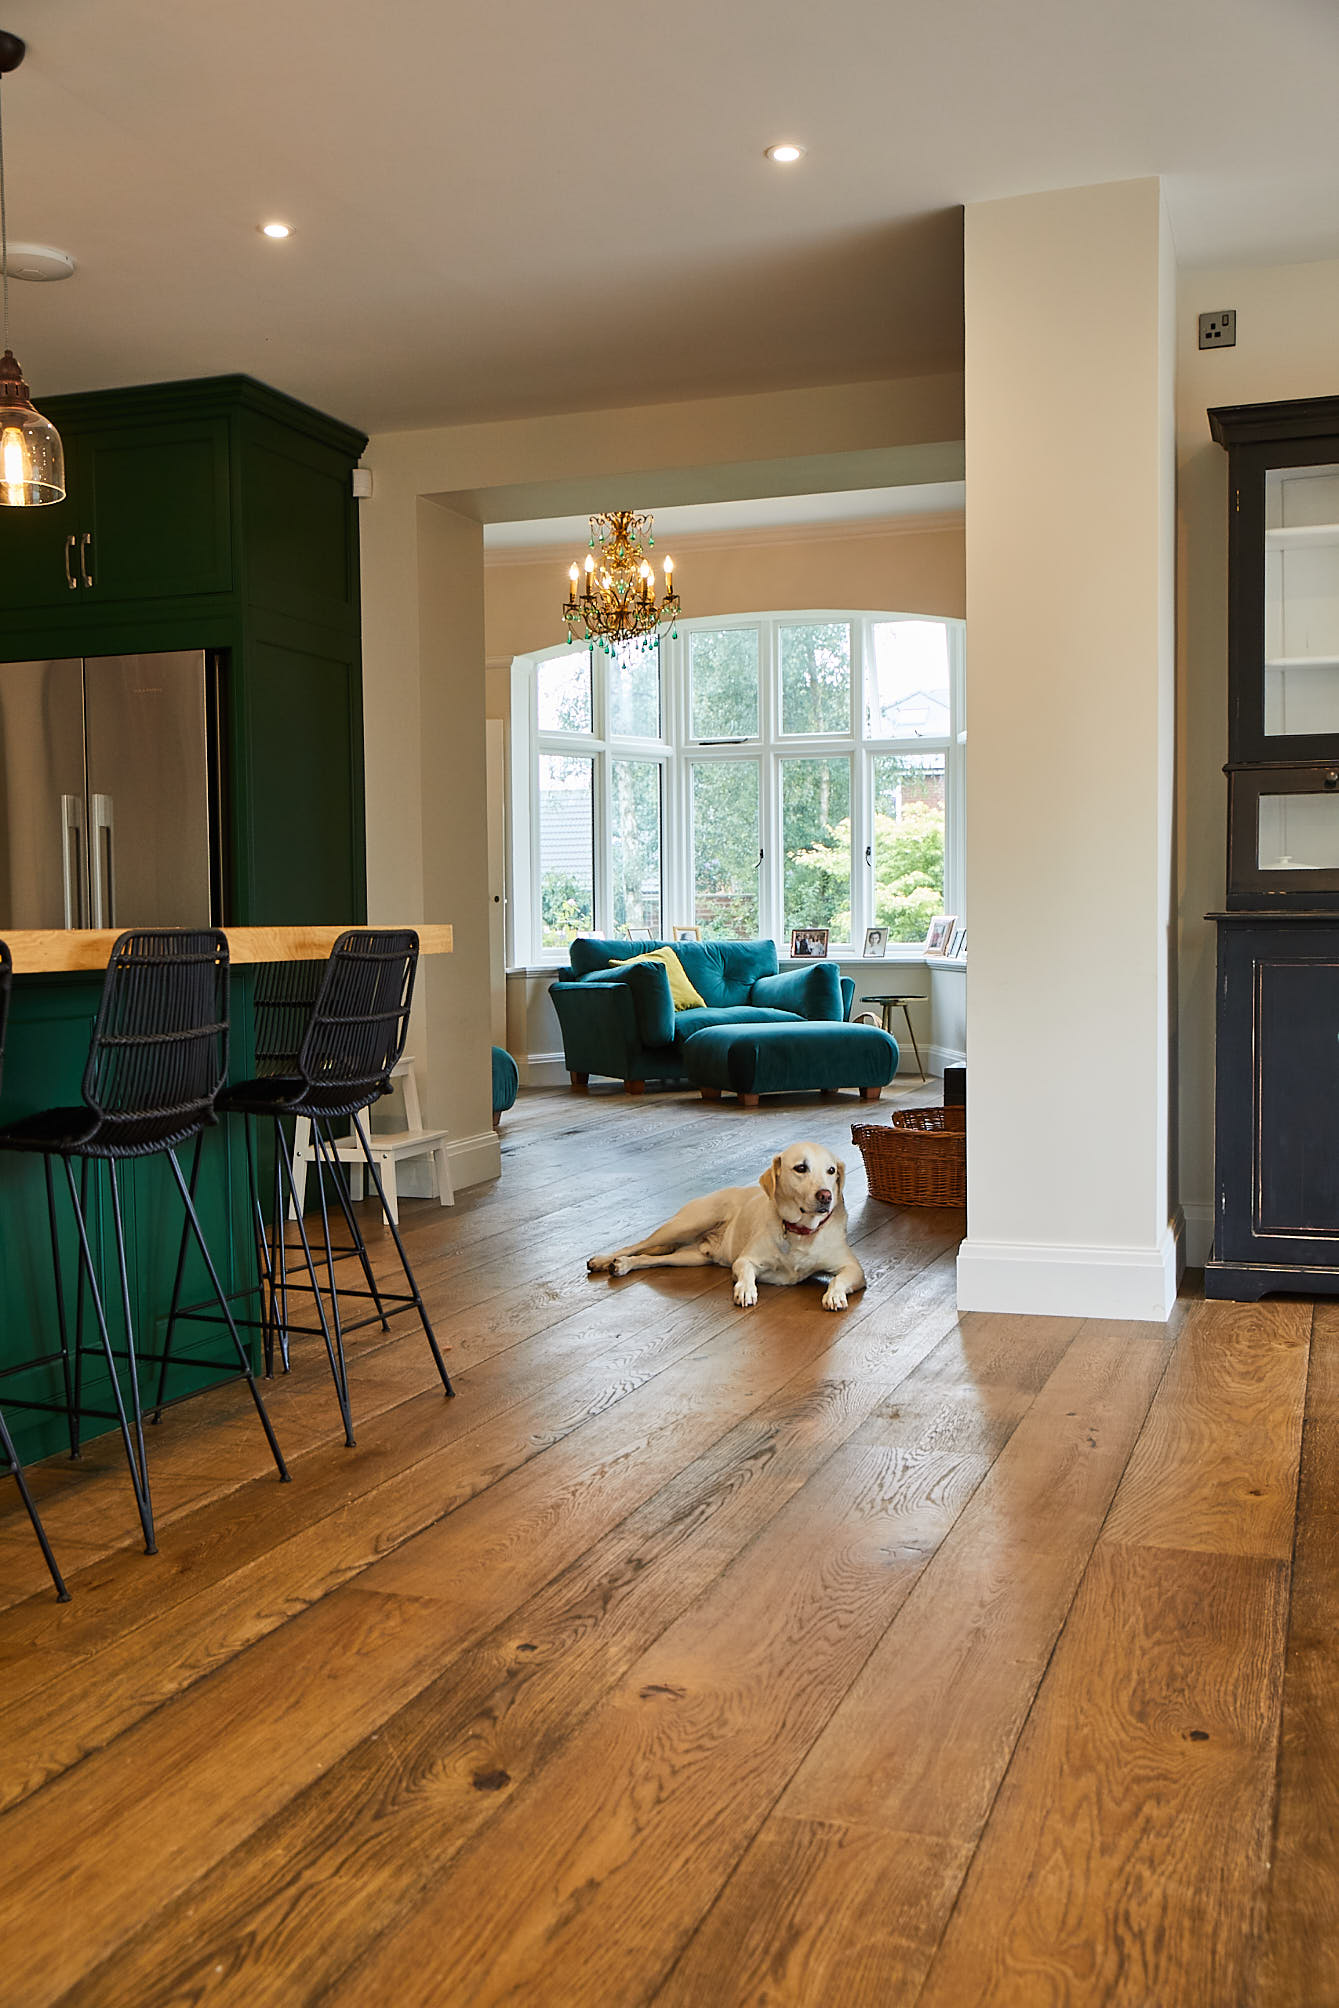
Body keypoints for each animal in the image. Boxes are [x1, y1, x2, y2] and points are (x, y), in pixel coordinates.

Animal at [590, 1140, 863, 1309]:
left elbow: (838, 1279)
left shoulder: (854, 1270)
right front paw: (746, 1290)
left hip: (692, 1257)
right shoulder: (745, 1260)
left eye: (831, 1171)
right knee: (636, 1245)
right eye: (801, 1168)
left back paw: (623, 1265)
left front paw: (834, 1295)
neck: (801, 1232)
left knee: (650, 1258)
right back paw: (605, 1260)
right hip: (686, 1224)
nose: (826, 1196)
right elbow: (746, 1273)